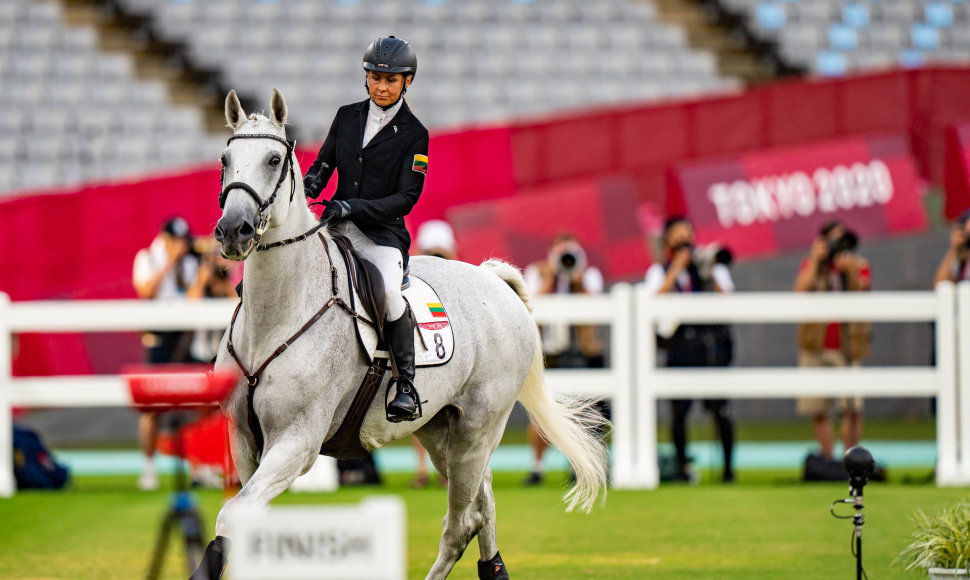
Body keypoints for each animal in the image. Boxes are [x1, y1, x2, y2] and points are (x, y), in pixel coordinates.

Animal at [193, 87, 604, 580]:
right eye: (224, 159)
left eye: (274, 159)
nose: (233, 231)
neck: (277, 314)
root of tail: (491, 279)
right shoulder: (244, 440)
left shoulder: (296, 442)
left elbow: (231, 515)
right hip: (441, 430)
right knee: (482, 505)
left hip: (478, 430)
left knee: (462, 522)